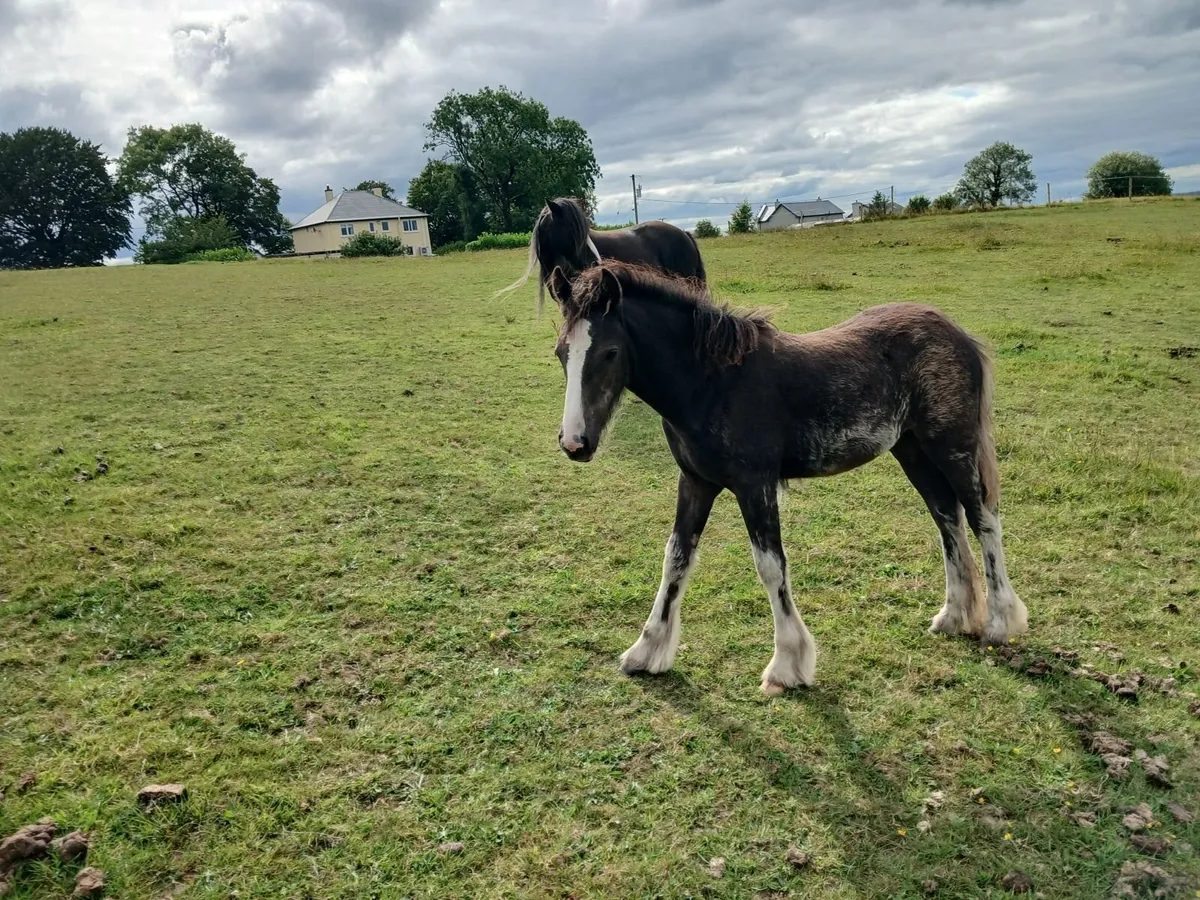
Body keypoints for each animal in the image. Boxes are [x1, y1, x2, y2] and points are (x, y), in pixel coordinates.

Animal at [546, 261, 1028, 695]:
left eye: (609, 351)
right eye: (560, 351)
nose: (575, 443)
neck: (712, 383)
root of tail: (957, 333)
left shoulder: (754, 484)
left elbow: (770, 566)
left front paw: (787, 667)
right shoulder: (696, 482)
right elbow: (676, 559)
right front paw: (646, 653)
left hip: (953, 446)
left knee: (982, 518)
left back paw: (1000, 621)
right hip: (911, 449)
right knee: (946, 516)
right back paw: (955, 617)